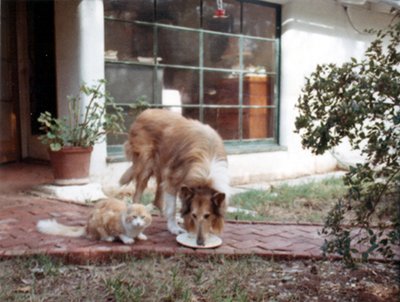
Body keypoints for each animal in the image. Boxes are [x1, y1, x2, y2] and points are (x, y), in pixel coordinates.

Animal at [119, 108, 230, 245]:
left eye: (207, 215)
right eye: (194, 215)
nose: (199, 242)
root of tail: (144, 112)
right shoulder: (172, 179)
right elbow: (172, 207)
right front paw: (174, 228)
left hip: (163, 168)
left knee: (157, 200)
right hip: (146, 166)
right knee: (137, 196)